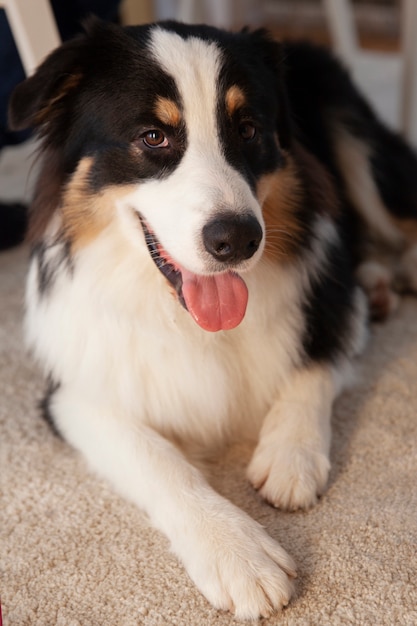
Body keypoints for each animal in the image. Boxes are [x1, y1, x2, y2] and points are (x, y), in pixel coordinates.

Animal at [8, 19, 416, 620]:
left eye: (248, 130)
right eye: (153, 137)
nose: (238, 239)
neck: (186, 320)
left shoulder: (337, 305)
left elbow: (312, 366)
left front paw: (290, 455)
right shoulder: (73, 391)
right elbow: (157, 458)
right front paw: (237, 553)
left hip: (358, 145)